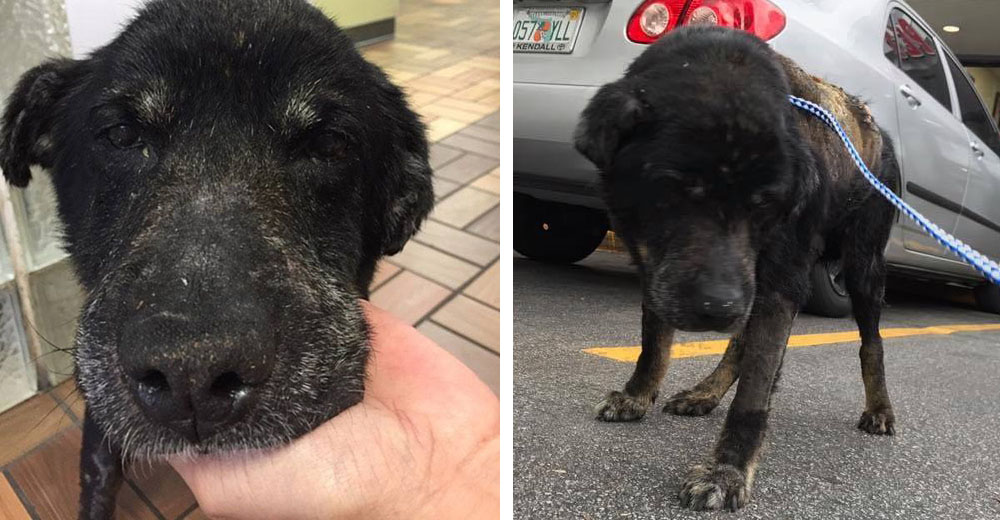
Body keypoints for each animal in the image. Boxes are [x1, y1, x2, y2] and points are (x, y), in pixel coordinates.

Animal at [580, 25, 900, 512]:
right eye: (676, 189)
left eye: (764, 204)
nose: (718, 308)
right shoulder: (657, 266)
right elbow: (655, 343)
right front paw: (637, 395)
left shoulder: (780, 284)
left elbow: (754, 392)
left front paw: (727, 471)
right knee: (738, 343)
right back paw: (704, 392)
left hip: (861, 265)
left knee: (872, 343)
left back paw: (879, 408)